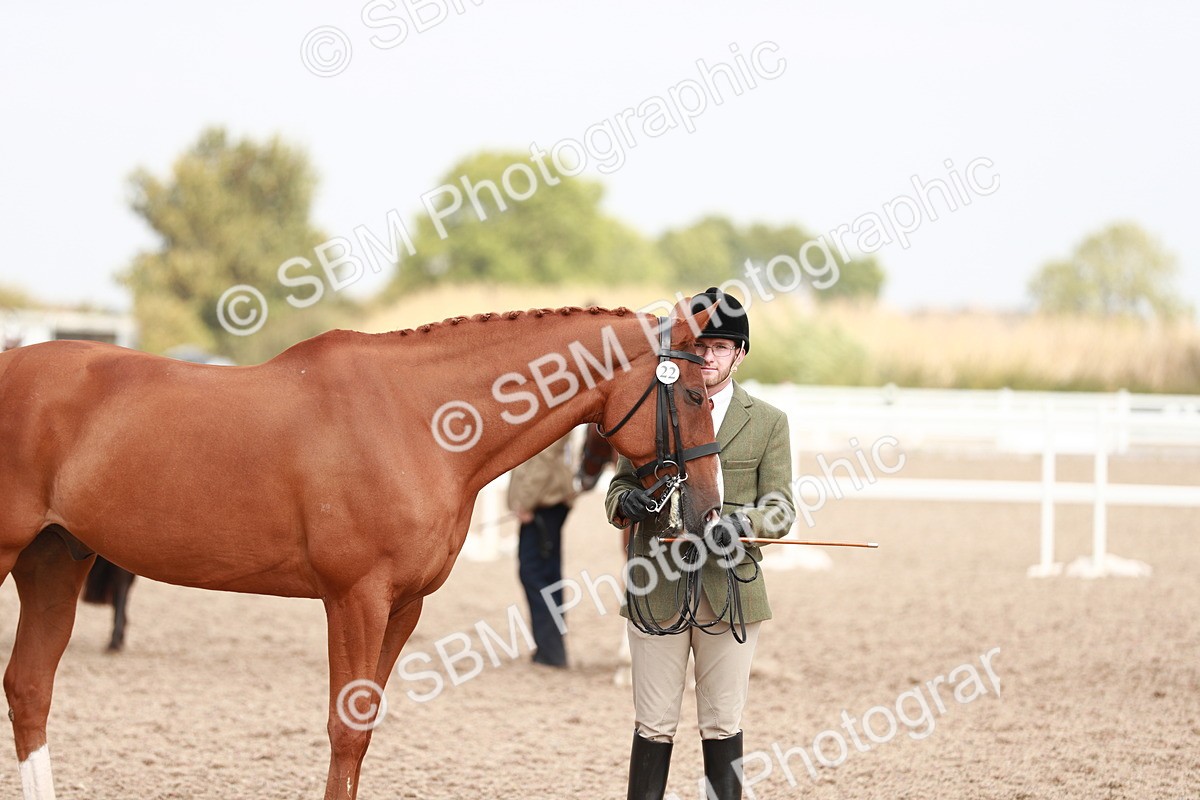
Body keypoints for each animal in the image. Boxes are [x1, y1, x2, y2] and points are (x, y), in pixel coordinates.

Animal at [0, 299, 722, 800]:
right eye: (693, 392)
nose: (710, 511)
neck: (419, 420)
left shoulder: (402, 607)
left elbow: (366, 727)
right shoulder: (355, 599)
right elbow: (344, 728)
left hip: (54, 560)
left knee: (30, 688)